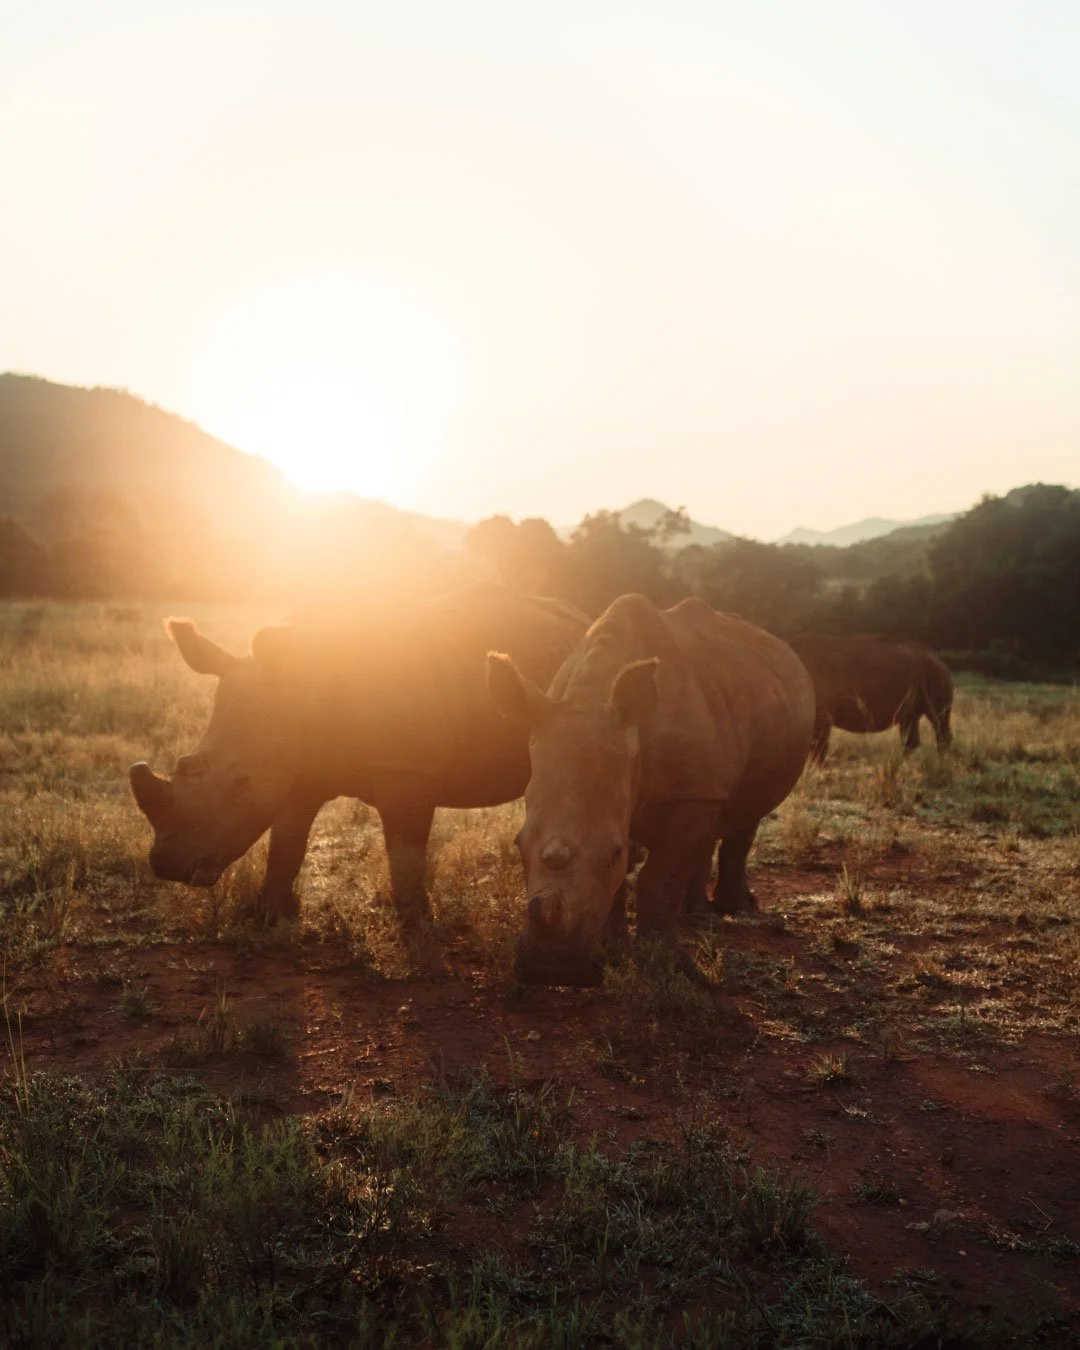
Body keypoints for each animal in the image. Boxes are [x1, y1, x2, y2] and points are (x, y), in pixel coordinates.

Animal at [129, 584, 587, 917]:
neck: (297, 685)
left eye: (241, 783)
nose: (167, 866)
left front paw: (414, 920)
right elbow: (286, 841)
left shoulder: (407, 770)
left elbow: (404, 852)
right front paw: (271, 913)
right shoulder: (298, 766)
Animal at [487, 594, 816, 985]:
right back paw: (697, 916)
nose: (551, 971)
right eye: (518, 845)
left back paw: (734, 911)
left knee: (744, 814)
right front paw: (612, 950)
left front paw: (664, 964)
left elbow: (659, 879)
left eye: (612, 853)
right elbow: (623, 881)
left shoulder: (690, 792)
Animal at [787, 634, 953, 762]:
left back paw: (941, 762)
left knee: (938, 720)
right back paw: (906, 763)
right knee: (910, 721)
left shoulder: (822, 715)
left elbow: (817, 746)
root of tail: (937, 657)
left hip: (935, 674)